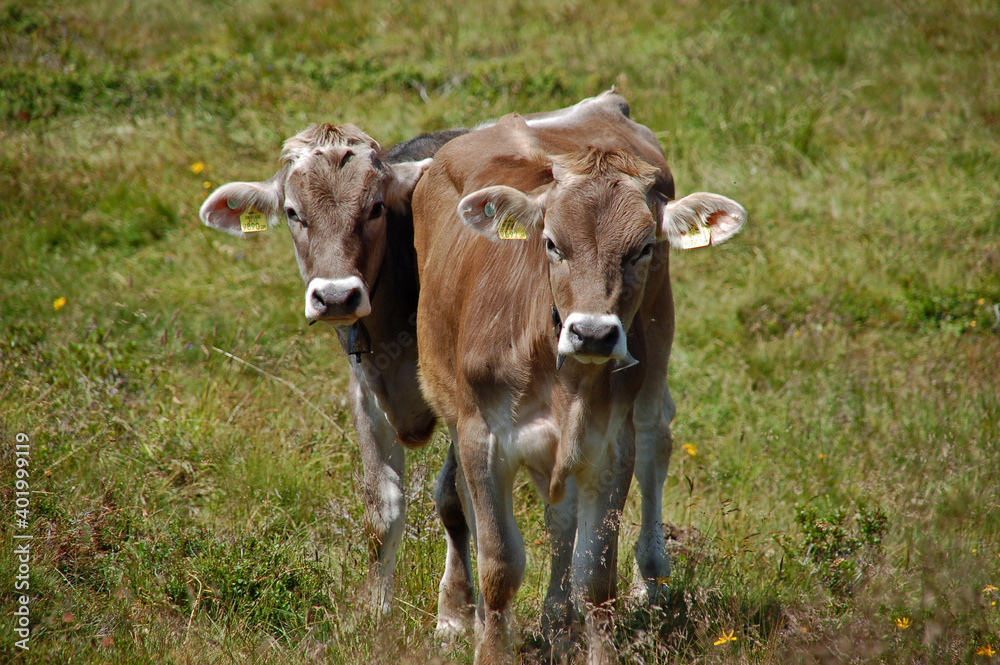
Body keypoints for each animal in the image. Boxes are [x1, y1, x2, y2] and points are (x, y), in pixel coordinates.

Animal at [410, 91, 748, 660]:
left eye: (644, 247)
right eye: (551, 243)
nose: (592, 333)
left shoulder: (610, 445)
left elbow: (595, 576)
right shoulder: (482, 435)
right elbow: (499, 563)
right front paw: (488, 642)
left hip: (652, 367)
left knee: (654, 443)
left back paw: (639, 585)